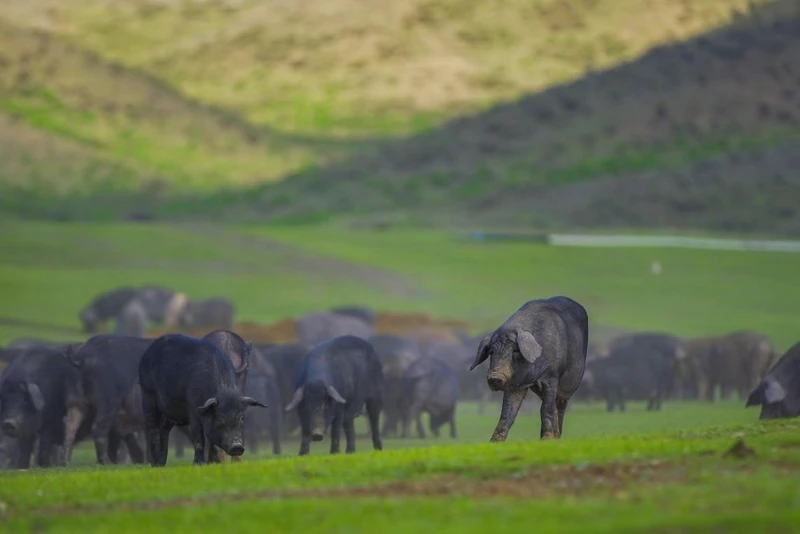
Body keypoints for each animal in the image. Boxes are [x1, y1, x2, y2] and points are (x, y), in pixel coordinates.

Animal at [139, 338, 268, 466]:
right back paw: (154, 464)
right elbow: (199, 438)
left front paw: (214, 463)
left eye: (241, 420)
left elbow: (212, 441)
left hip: (170, 412)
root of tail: (146, 353)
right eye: (220, 420)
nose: (237, 446)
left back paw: (161, 463)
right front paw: (198, 463)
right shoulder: (193, 410)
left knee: (164, 427)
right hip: (147, 394)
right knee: (153, 428)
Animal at [468, 298, 588, 444]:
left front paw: (546, 440)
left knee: (559, 406)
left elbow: (545, 408)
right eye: (491, 352)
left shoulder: (552, 376)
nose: (494, 377)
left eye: (515, 350)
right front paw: (494, 442)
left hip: (570, 383)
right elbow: (507, 413)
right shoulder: (514, 385)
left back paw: (557, 438)